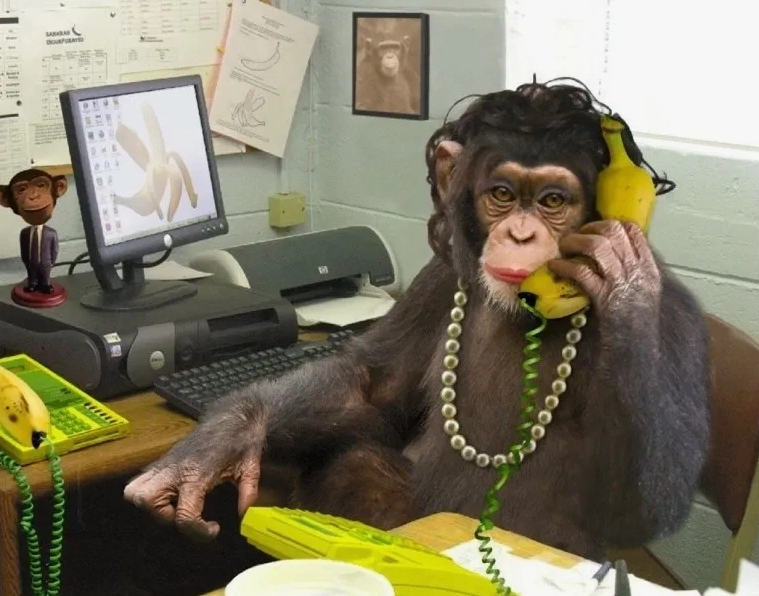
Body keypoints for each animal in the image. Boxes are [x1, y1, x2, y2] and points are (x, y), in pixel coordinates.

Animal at [123, 80, 711, 562]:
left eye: (552, 200)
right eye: (503, 195)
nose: (521, 233)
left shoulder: (676, 320)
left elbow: (644, 502)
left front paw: (620, 276)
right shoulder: (438, 279)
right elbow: (370, 386)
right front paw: (220, 439)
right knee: (357, 458)